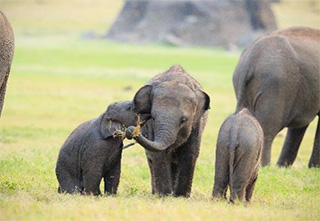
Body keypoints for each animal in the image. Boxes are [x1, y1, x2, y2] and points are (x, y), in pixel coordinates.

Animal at [126, 64, 211, 196]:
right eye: (153, 117)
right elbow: (158, 155)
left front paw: (181, 197)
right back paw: (156, 193)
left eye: (183, 121)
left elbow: (190, 153)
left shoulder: (197, 124)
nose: (131, 130)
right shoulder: (151, 127)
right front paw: (164, 195)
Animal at [232, 26, 320, 167]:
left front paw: (283, 168)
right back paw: (264, 167)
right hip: (275, 86)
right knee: (267, 129)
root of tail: (251, 60)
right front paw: (314, 168)